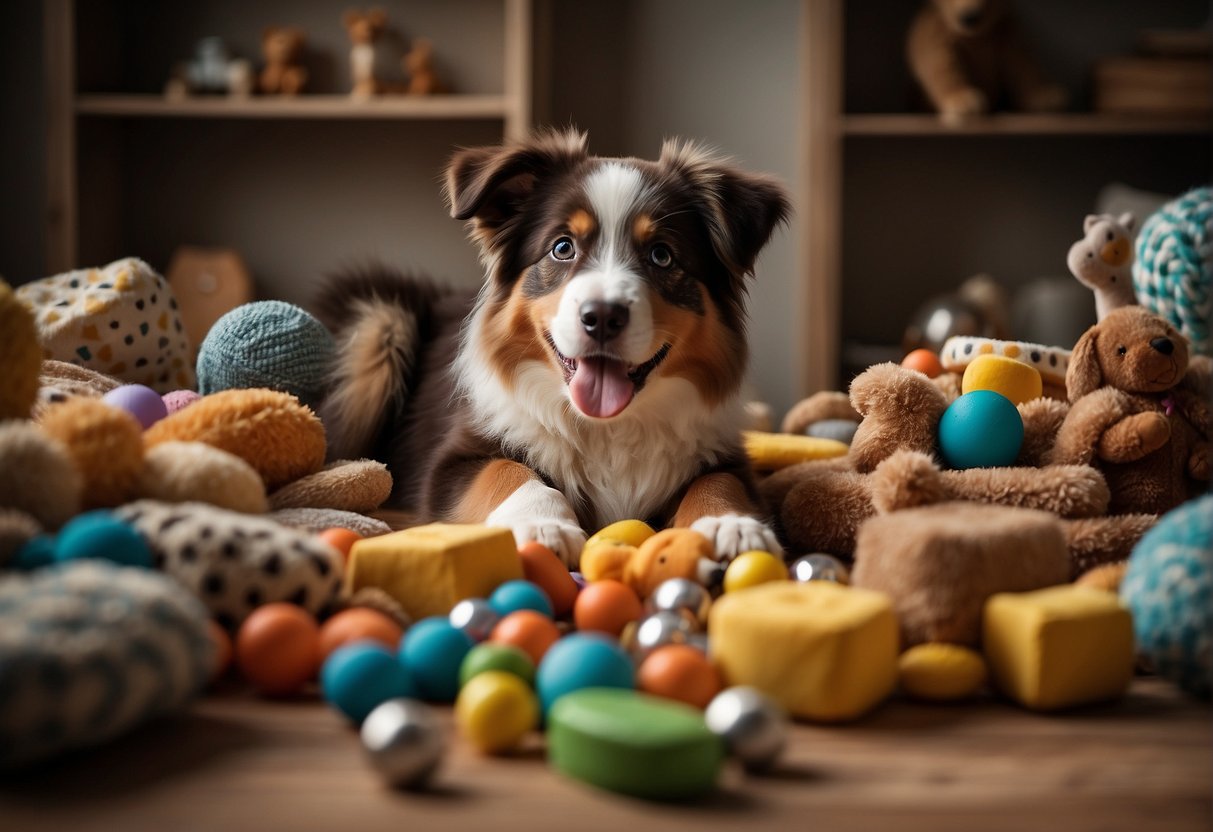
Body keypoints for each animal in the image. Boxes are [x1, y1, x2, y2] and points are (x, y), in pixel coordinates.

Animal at [312, 130, 786, 570]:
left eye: (662, 255)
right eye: (562, 247)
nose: (602, 317)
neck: (607, 427)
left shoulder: (724, 450)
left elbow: (719, 481)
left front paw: (728, 524)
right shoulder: (450, 462)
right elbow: (505, 468)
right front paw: (543, 524)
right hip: (381, 321)